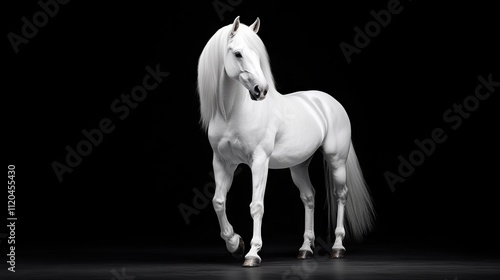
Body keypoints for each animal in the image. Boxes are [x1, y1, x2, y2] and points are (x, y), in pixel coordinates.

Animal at [197, 17, 374, 266]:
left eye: (257, 54)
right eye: (238, 54)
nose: (261, 90)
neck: (232, 113)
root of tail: (330, 102)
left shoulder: (259, 161)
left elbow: (256, 205)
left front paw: (252, 253)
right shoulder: (223, 162)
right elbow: (218, 201)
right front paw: (235, 244)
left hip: (336, 160)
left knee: (341, 194)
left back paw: (338, 247)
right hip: (298, 165)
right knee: (309, 197)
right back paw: (305, 249)